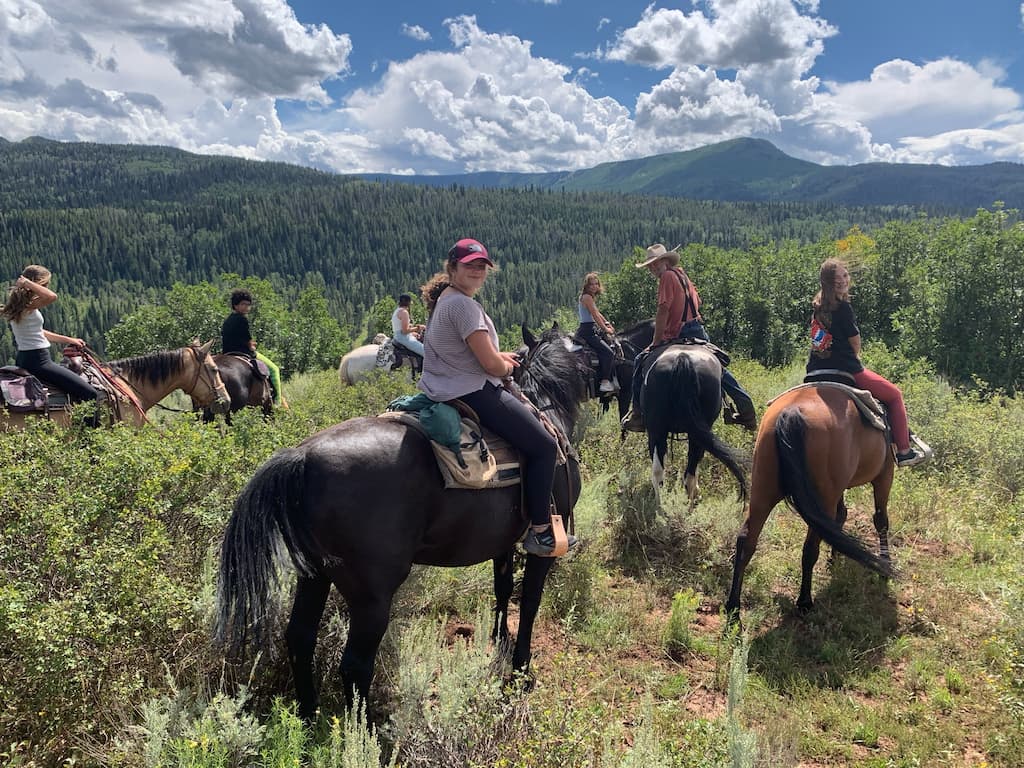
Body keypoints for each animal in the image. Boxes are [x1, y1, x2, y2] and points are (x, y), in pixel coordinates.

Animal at [216, 325, 593, 716]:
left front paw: (500, 639)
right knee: (354, 665)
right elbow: (530, 600)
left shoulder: (503, 540)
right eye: (587, 352)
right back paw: (364, 729)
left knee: (299, 638)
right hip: (372, 595)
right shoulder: (546, 539)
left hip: (315, 575)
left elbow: (502, 589)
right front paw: (521, 668)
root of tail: (303, 457)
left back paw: (308, 716)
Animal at [720, 385, 897, 618]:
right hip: (823, 498)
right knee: (811, 547)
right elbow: (880, 520)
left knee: (746, 541)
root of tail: (791, 412)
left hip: (762, 491)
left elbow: (842, 517)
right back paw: (804, 601)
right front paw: (885, 565)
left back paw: (733, 609)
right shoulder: (884, 475)